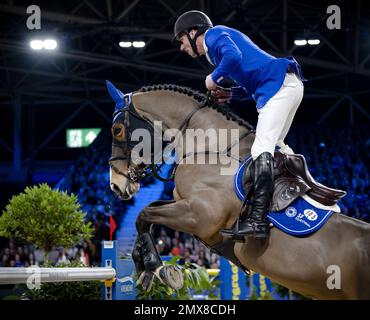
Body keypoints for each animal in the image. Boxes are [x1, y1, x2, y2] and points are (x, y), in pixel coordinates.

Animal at [106, 82, 370, 300]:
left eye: (117, 130)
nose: (115, 184)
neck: (210, 149)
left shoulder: (200, 216)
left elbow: (144, 215)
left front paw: (155, 267)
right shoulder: (186, 207)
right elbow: (147, 213)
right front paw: (145, 267)